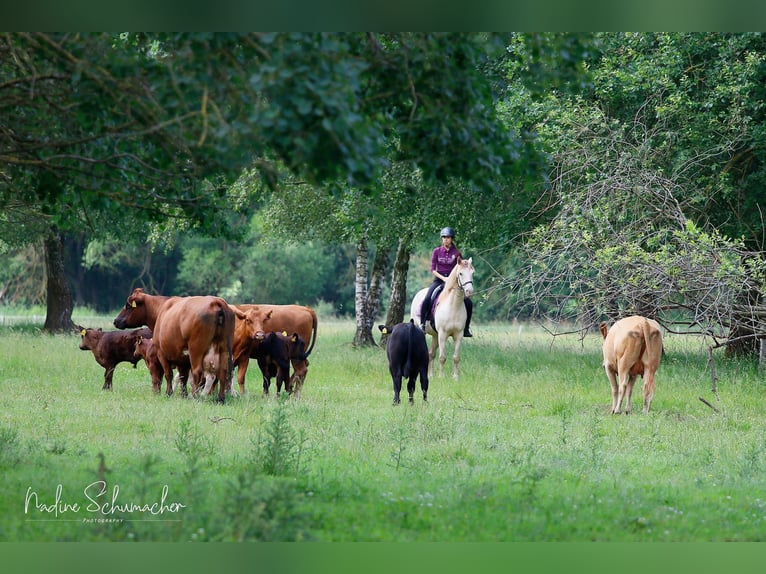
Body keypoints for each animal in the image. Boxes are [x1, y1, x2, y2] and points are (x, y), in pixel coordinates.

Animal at [110, 288, 260, 404]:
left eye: (128, 306)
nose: (115, 321)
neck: (162, 309)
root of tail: (216, 302)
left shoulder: (162, 354)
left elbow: (169, 375)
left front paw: (169, 393)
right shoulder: (182, 358)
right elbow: (183, 376)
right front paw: (183, 395)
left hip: (196, 349)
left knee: (198, 372)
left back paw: (195, 396)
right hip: (224, 347)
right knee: (223, 371)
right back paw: (220, 398)